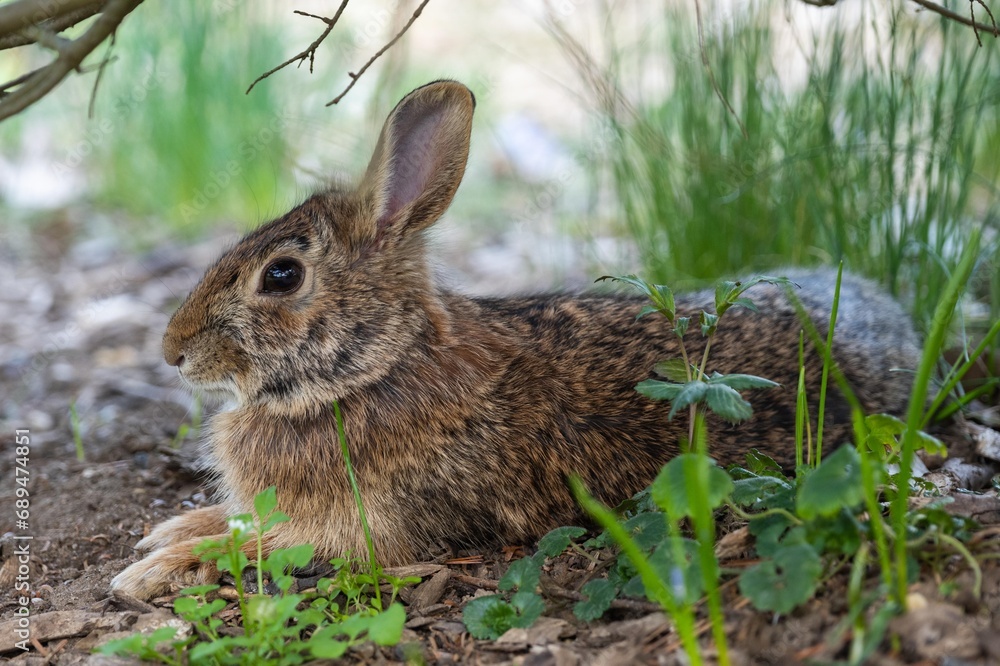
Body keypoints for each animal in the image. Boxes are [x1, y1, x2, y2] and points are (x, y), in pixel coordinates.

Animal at [110, 80, 920, 600]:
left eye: (281, 275)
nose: (172, 351)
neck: (371, 367)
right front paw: (167, 532)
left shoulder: (364, 530)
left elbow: (251, 544)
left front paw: (149, 571)